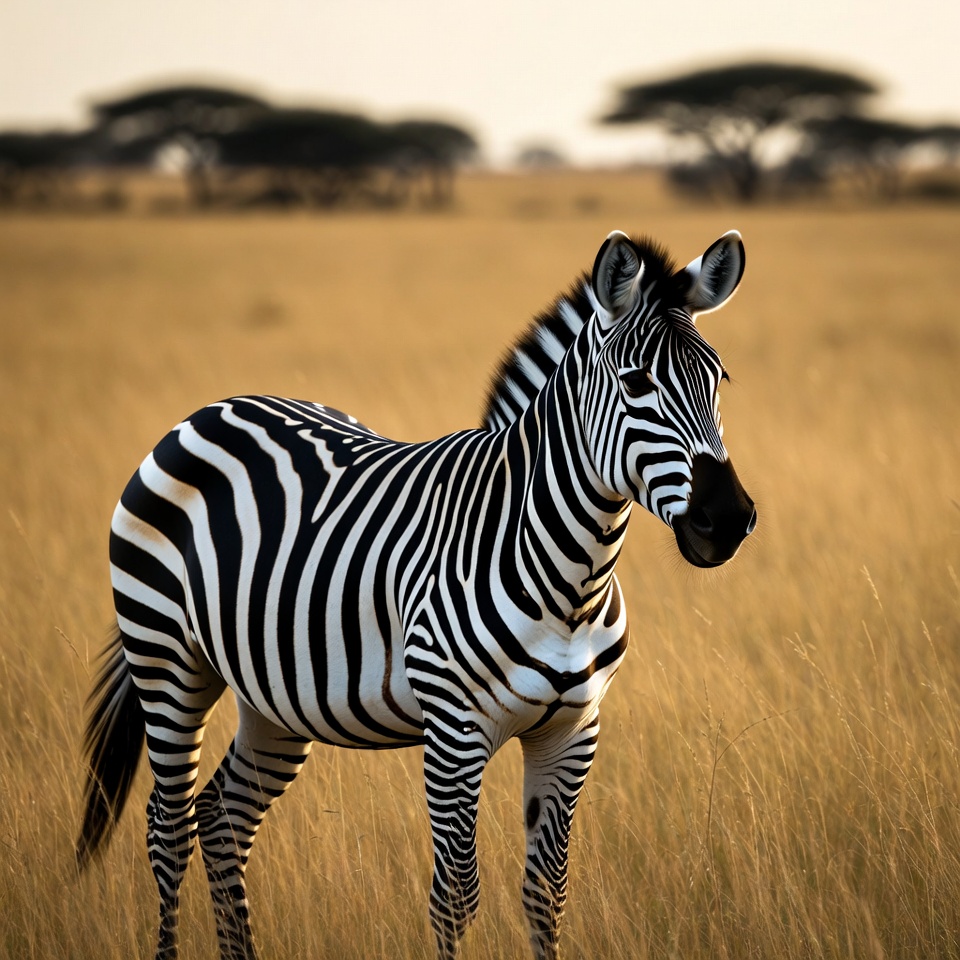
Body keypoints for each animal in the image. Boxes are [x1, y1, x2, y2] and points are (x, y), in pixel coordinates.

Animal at [76, 228, 756, 960]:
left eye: (719, 381)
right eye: (636, 384)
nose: (729, 519)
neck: (570, 580)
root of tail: (208, 411)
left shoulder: (573, 730)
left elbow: (546, 893)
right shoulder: (455, 732)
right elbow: (455, 896)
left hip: (272, 698)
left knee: (223, 817)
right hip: (168, 660)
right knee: (167, 825)